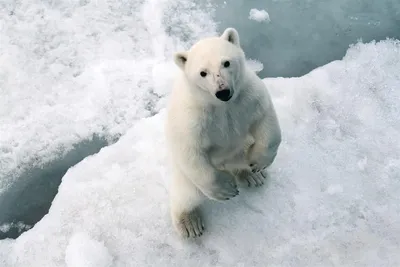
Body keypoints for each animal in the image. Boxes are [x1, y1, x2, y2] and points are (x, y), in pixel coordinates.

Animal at [164, 27, 280, 239]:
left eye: (226, 62)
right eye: (203, 73)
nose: (223, 91)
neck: (222, 105)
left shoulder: (248, 96)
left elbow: (265, 121)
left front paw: (258, 164)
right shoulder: (193, 117)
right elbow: (190, 149)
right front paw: (225, 190)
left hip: (240, 148)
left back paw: (251, 176)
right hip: (184, 174)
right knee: (186, 192)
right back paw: (189, 223)